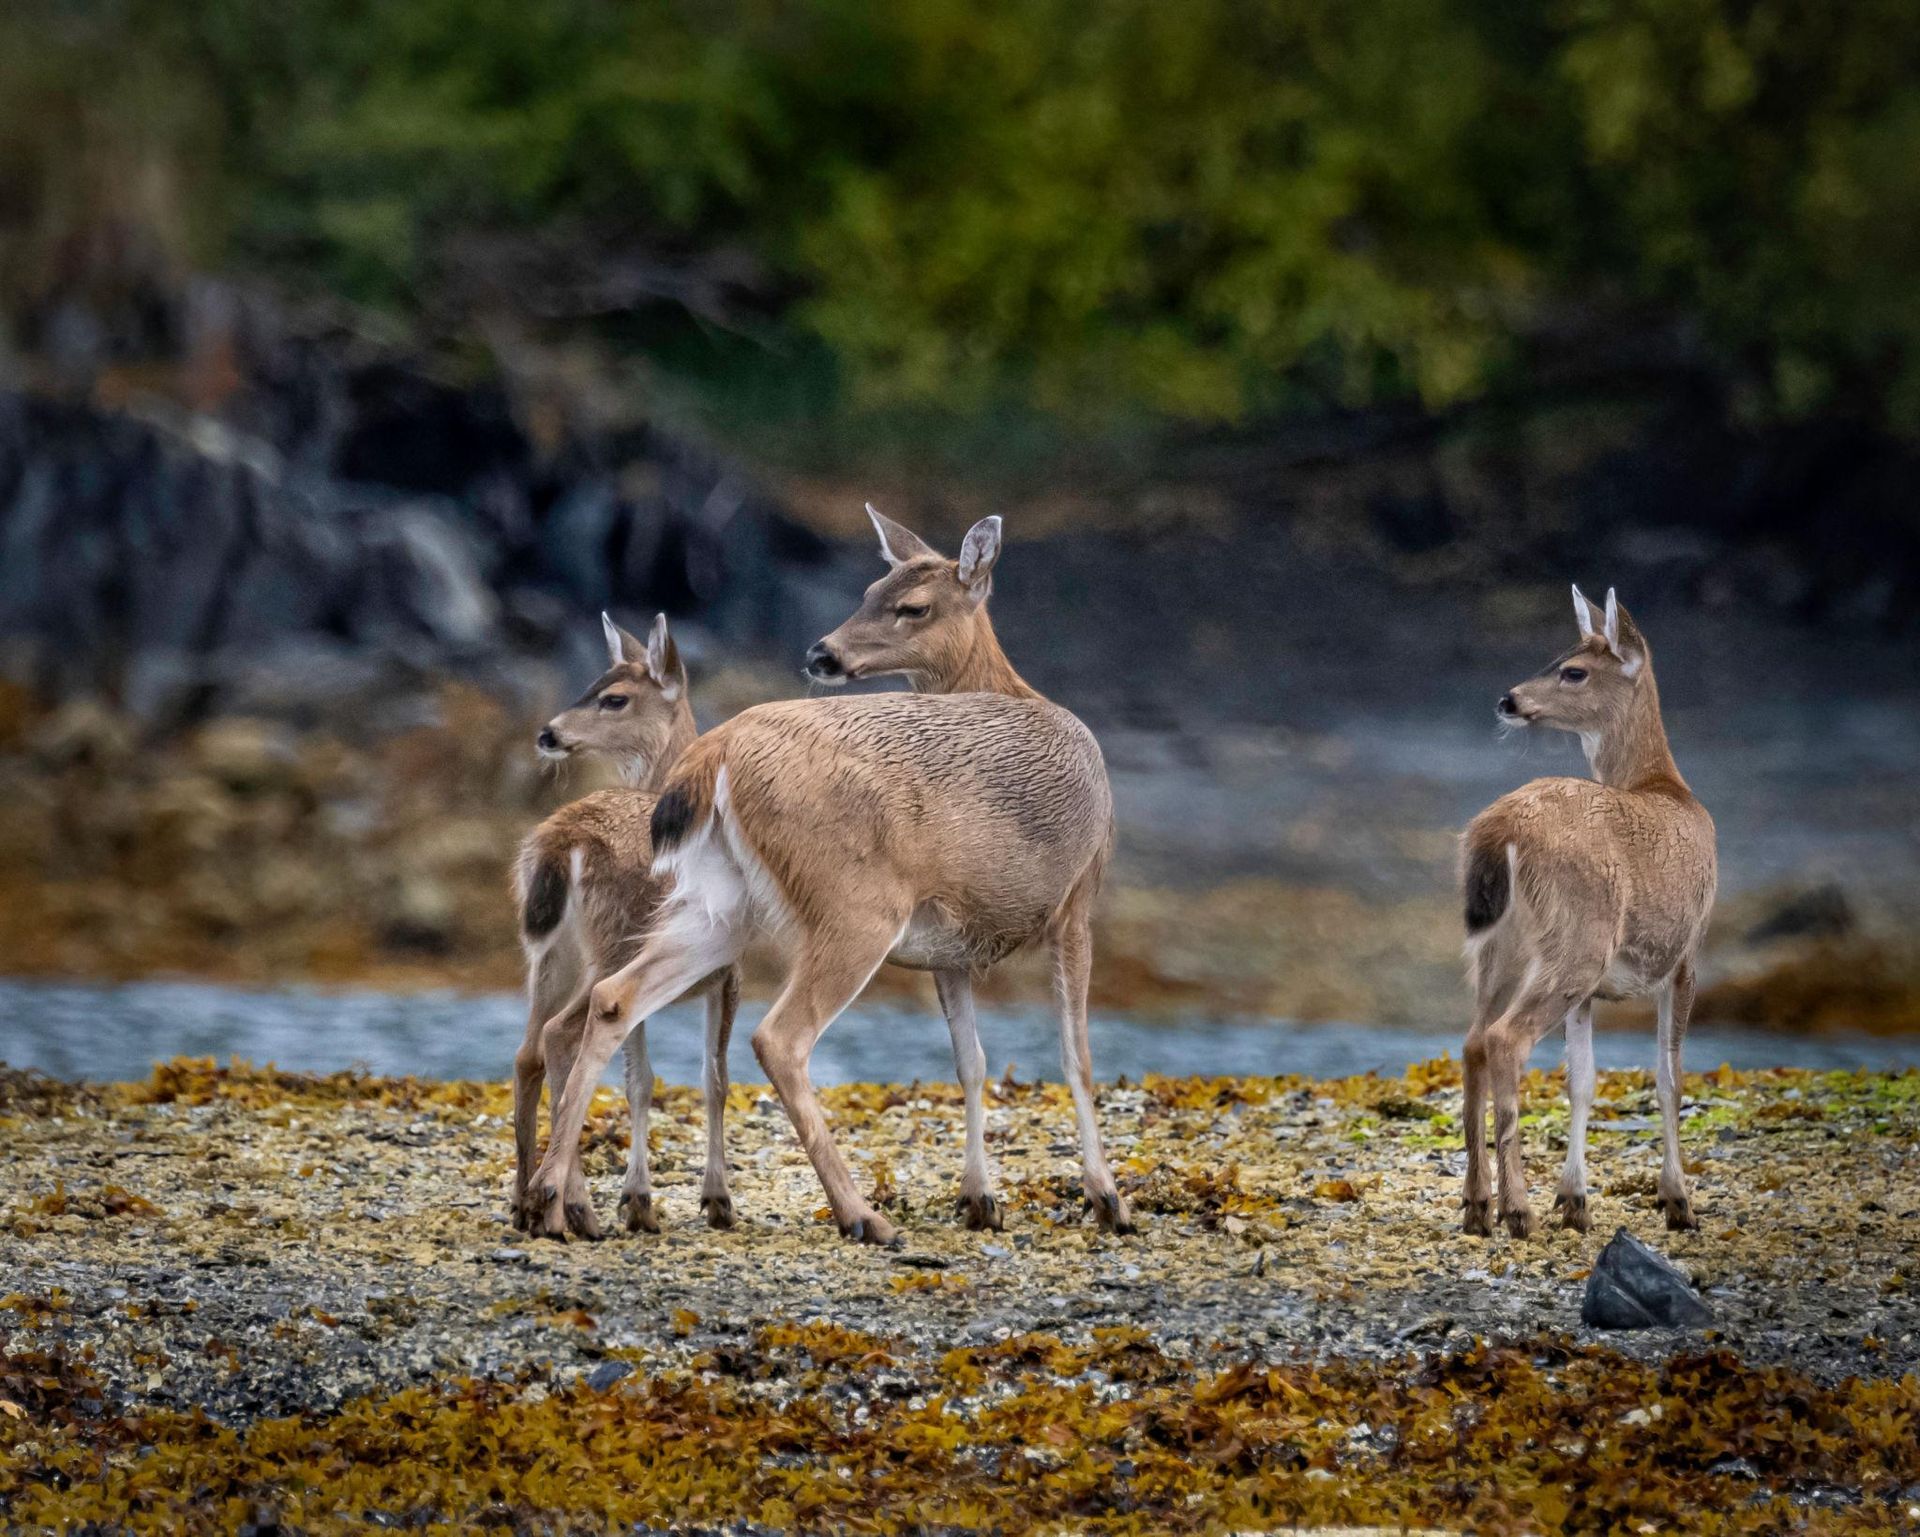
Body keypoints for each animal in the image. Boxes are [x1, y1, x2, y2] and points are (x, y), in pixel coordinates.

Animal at [510, 612, 740, 1238]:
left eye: (613, 697)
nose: (547, 733)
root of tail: (561, 840)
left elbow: (641, 1080)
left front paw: (638, 1200)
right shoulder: (729, 970)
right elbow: (713, 1078)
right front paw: (716, 1199)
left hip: (548, 954)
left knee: (529, 1051)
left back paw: (524, 1202)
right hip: (614, 943)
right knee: (558, 1035)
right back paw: (567, 1208)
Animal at [1459, 586, 1716, 1240]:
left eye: (1572, 669)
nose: (1509, 699)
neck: (1665, 785)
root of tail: (1500, 829)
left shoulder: (1596, 990)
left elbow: (1583, 1081)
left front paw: (1575, 1200)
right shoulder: (1686, 954)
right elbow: (1669, 1079)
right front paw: (1678, 1201)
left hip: (1501, 947)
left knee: (1473, 1041)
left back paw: (1476, 1207)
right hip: (1578, 938)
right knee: (1504, 1039)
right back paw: (1516, 1209)